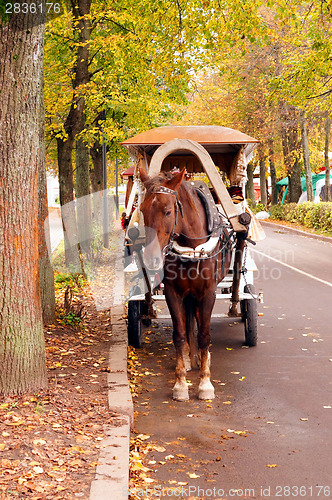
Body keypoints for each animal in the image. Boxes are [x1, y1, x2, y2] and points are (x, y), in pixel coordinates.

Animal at [139, 169, 232, 402]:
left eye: (167, 211)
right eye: (142, 210)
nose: (151, 258)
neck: (191, 248)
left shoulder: (207, 294)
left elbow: (205, 335)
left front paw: (205, 383)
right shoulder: (174, 293)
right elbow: (179, 334)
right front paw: (180, 383)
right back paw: (191, 357)